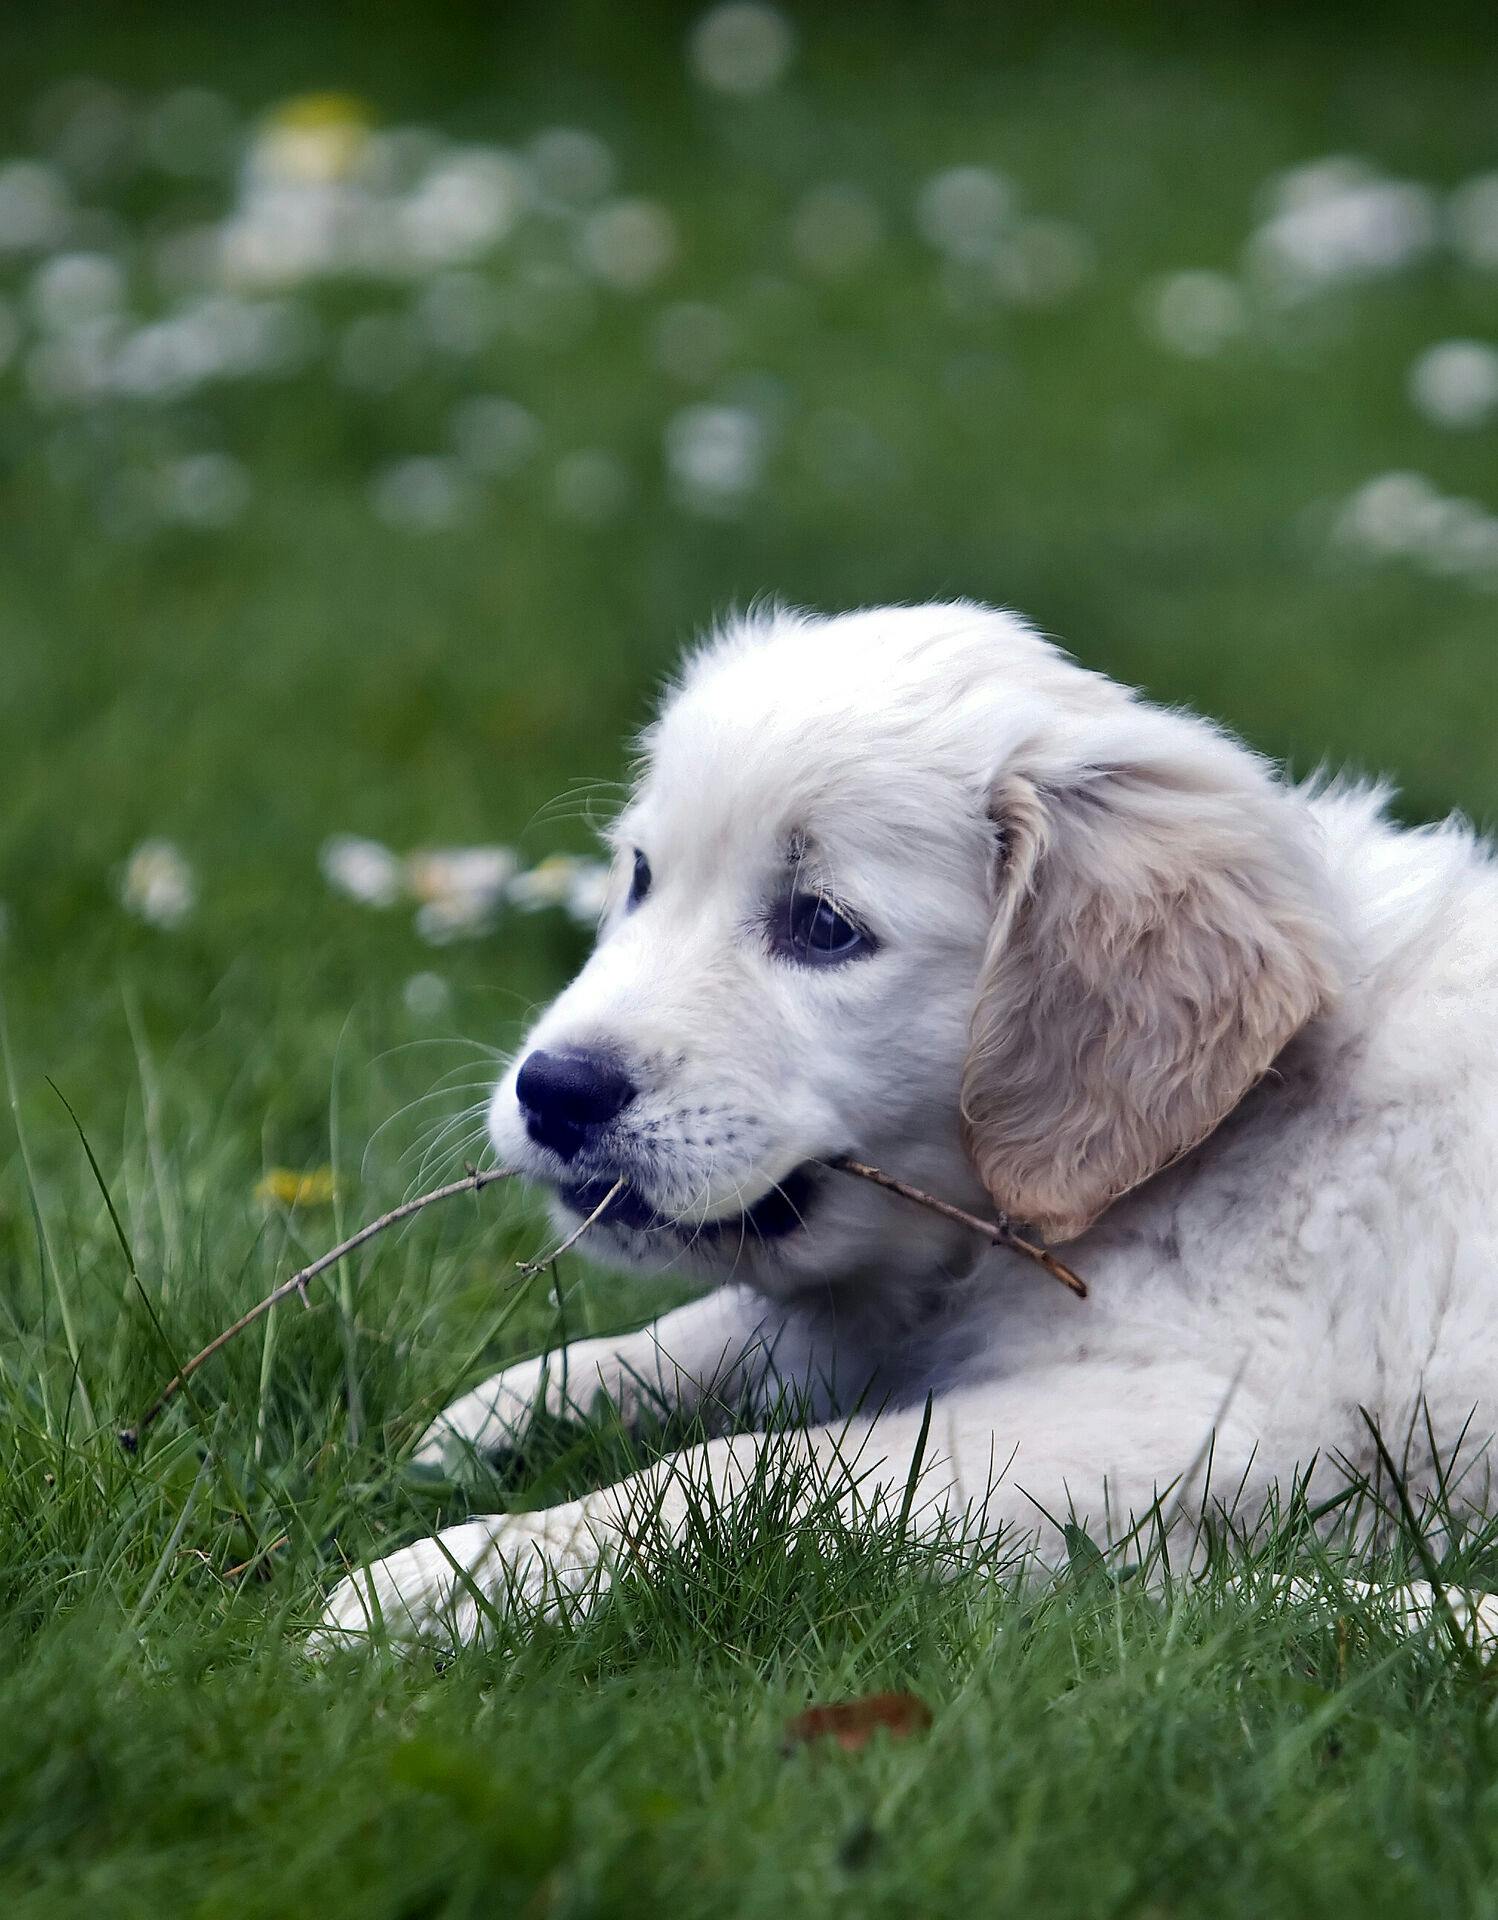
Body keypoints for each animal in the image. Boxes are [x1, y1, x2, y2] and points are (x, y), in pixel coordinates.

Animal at [322, 602, 1498, 1651]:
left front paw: (445, 1579)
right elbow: (690, 1337)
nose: (555, 1091)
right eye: (643, 877)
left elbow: (750, 1468)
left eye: (824, 927)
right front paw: (482, 1422)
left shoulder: (1199, 1412)